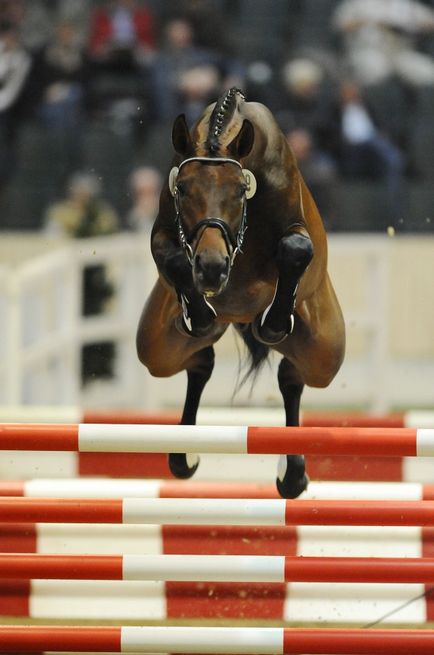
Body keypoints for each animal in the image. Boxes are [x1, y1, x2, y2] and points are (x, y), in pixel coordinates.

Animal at [137, 87, 344, 498]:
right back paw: (185, 455)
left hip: (325, 353)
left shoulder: (294, 227)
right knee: (199, 363)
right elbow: (175, 260)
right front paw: (198, 315)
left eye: (239, 191)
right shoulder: (165, 231)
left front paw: (271, 325)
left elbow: (296, 249)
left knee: (293, 377)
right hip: (155, 350)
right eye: (182, 189)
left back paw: (292, 473)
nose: (212, 267)